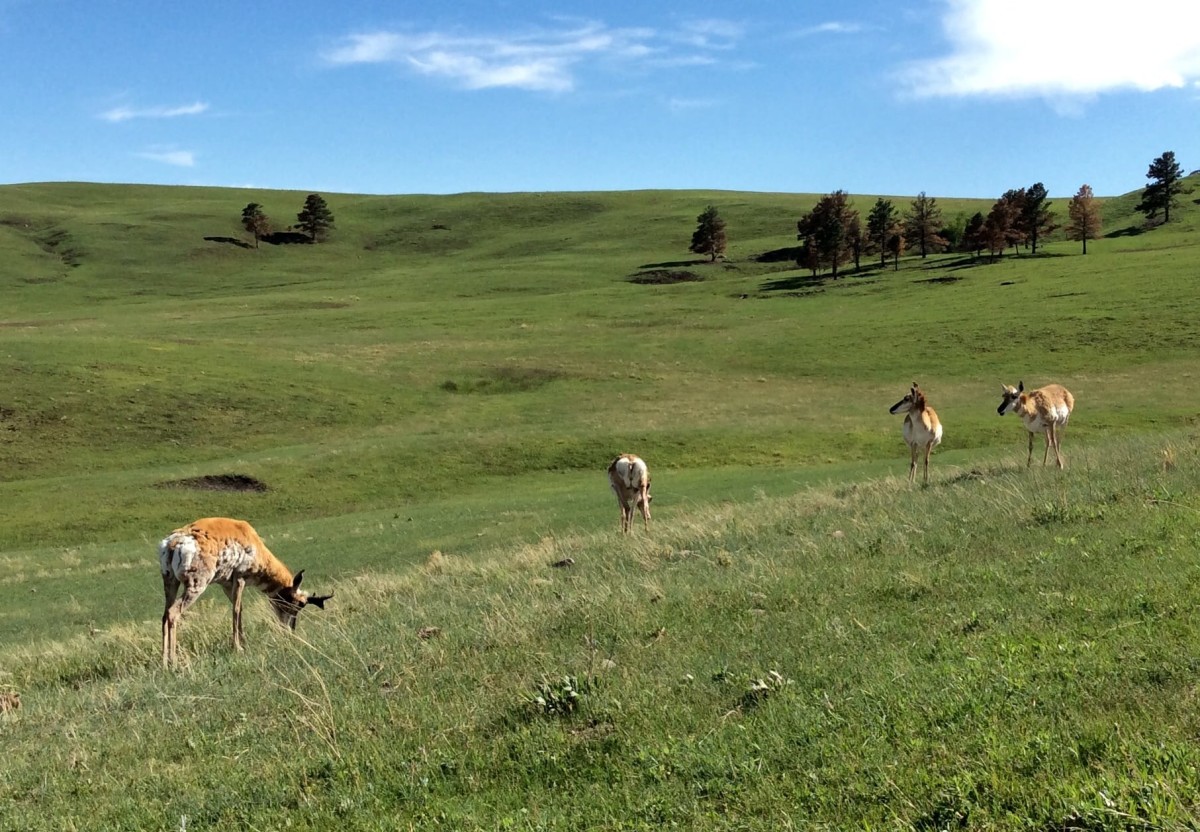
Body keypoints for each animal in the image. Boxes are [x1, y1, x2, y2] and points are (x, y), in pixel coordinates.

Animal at [160, 516, 333, 667]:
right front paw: (238, 648)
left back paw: (164, 661)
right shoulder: (240, 578)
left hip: (170, 582)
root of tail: (173, 543)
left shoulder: (226, 584)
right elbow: (236, 610)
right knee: (173, 612)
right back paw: (173, 661)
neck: (254, 542)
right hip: (196, 585)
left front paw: (243, 643)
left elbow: (240, 609)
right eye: (298, 604)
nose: (291, 630)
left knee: (165, 615)